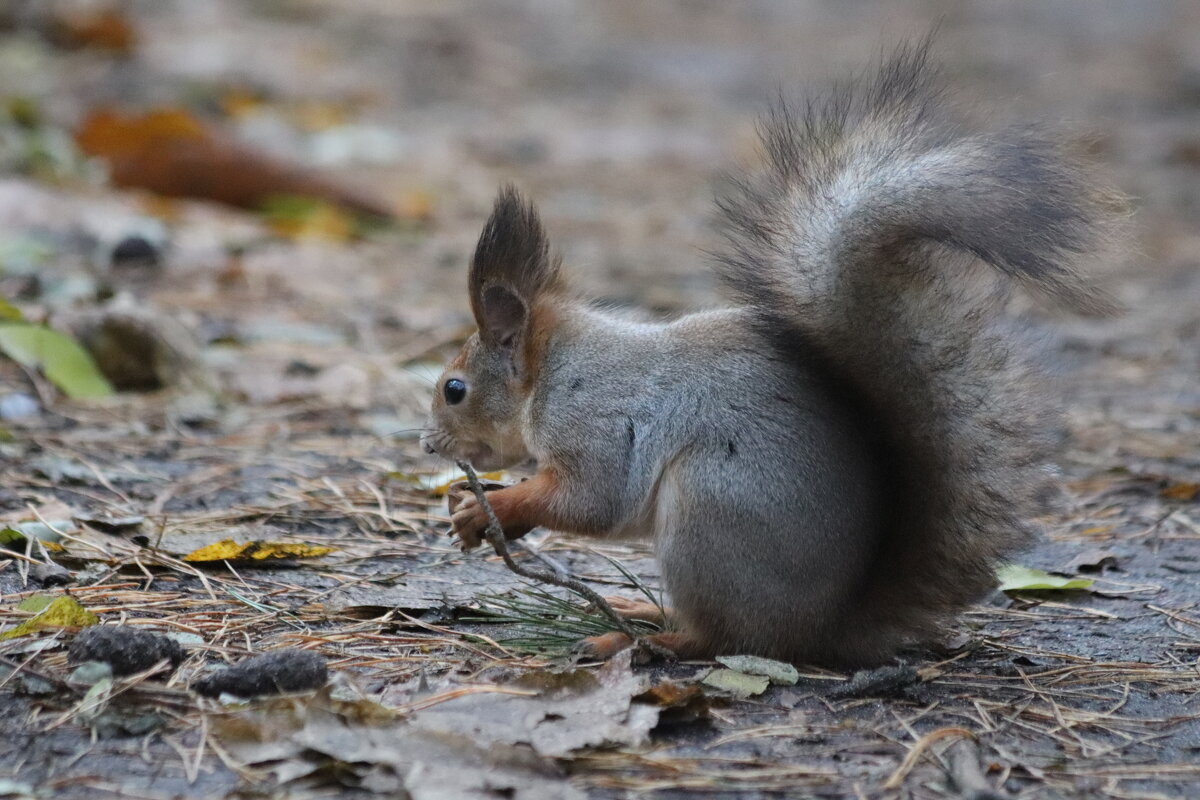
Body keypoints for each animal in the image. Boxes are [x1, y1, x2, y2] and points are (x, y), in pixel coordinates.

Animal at [417, 43, 1118, 671]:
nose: (429, 445)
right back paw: (642, 612)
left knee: (727, 639)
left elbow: (592, 500)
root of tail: (826, 625)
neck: (554, 371)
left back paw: (639, 638)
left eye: (454, 388)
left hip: (709, 514)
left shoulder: (598, 423)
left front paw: (491, 508)